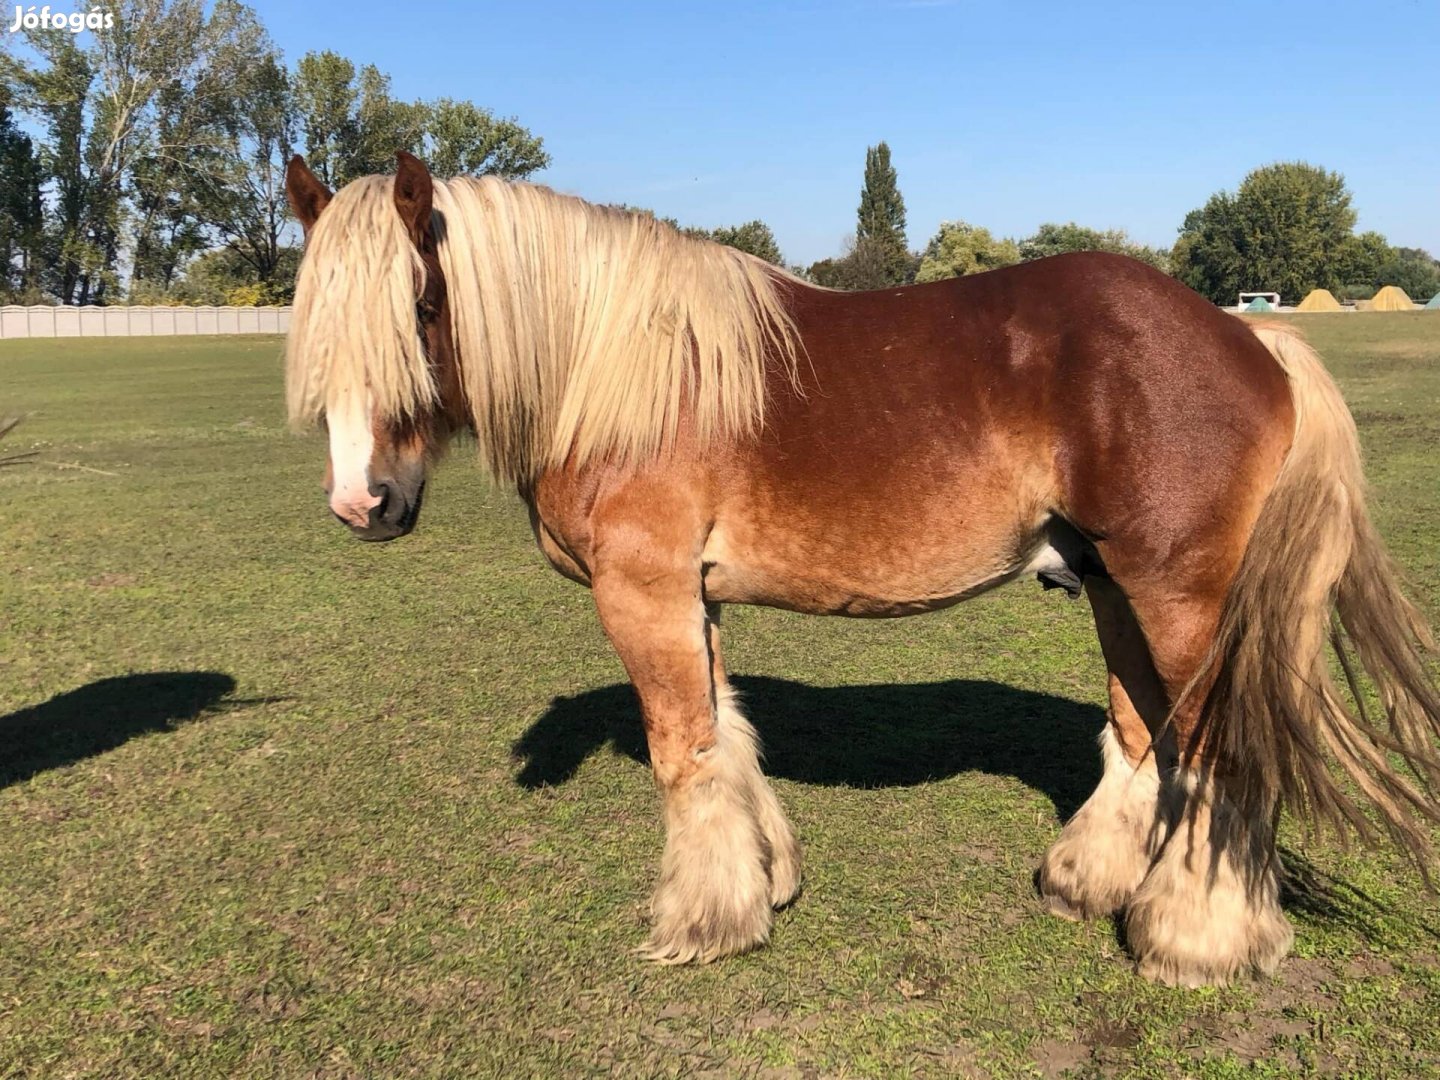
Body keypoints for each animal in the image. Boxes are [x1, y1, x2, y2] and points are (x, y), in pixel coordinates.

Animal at [280, 152, 1440, 990]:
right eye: (319, 324)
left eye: (420, 308)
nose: (362, 502)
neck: (619, 375)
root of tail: (1252, 340)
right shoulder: (689, 600)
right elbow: (726, 738)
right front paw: (762, 883)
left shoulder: (642, 594)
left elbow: (682, 756)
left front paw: (704, 921)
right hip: (1118, 591)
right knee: (1144, 736)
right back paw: (1089, 884)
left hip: (1182, 597)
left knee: (1220, 758)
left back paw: (1195, 942)